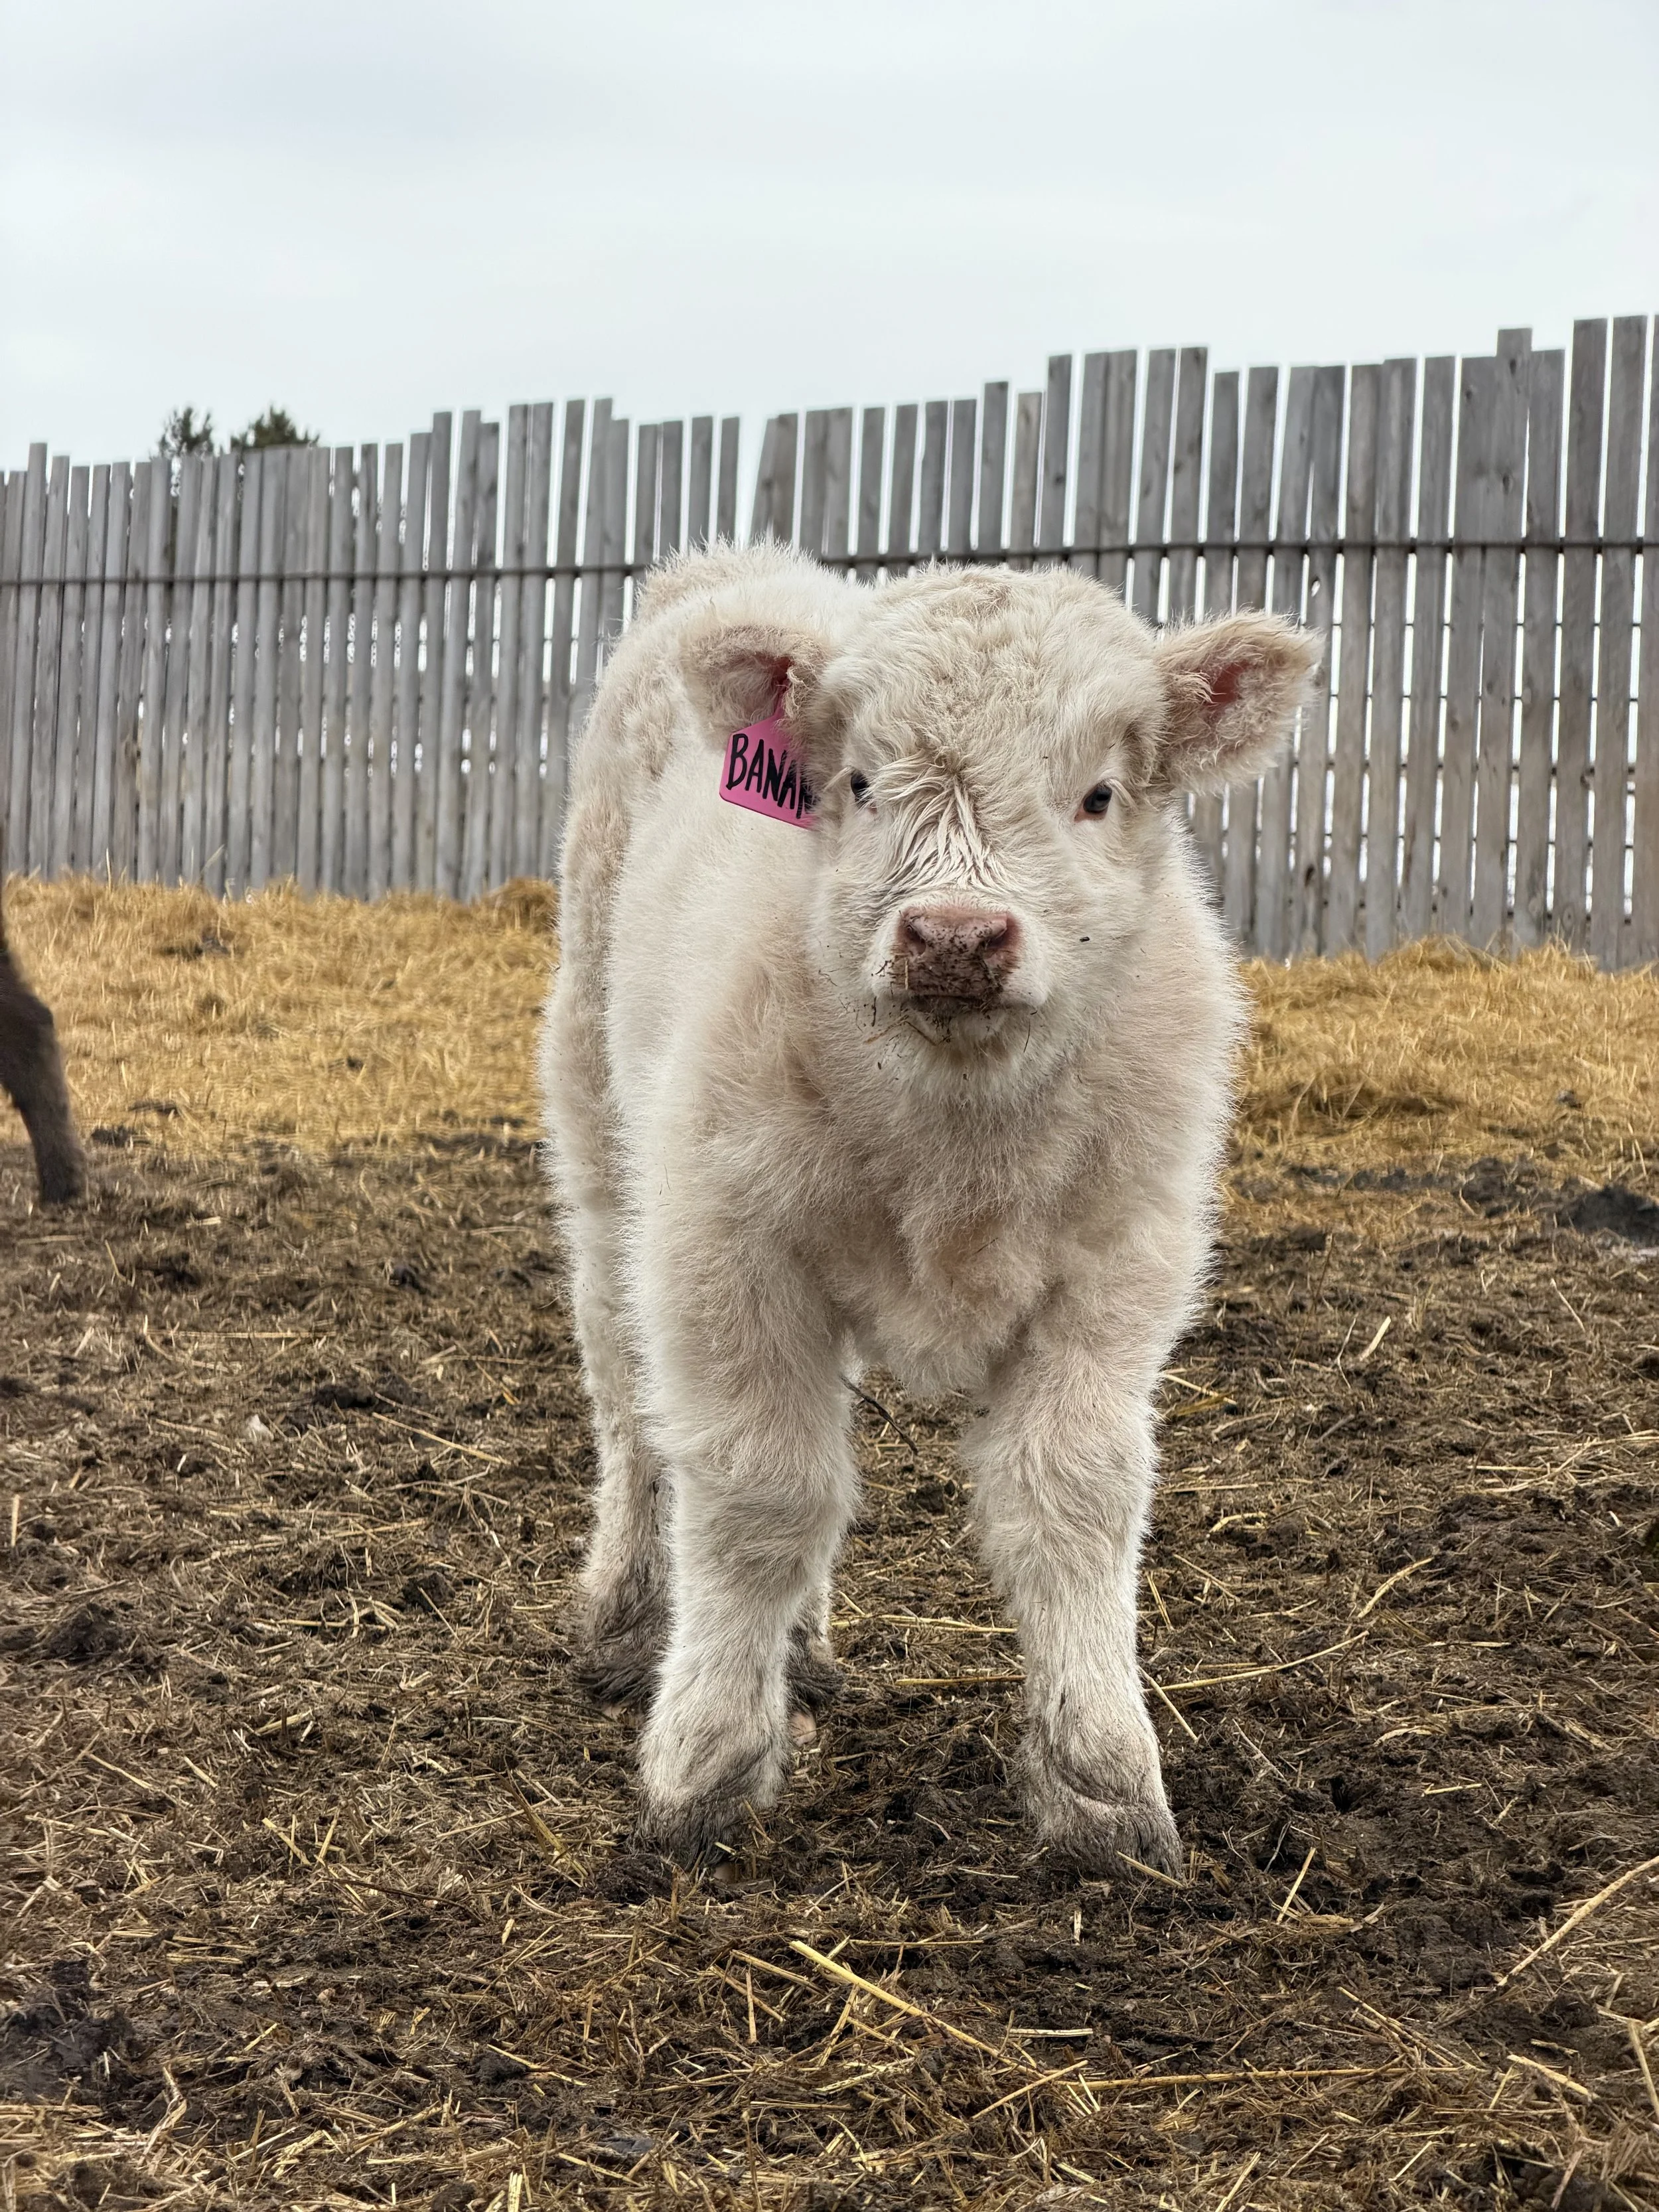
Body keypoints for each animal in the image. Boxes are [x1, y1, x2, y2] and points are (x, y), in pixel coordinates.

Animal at [540, 542, 1317, 1875]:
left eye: (1098, 794)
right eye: (857, 782)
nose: (954, 937)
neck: (958, 1136)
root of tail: (737, 564)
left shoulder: (1120, 1268)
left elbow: (1075, 1493)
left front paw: (1105, 1782)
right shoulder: (723, 1245)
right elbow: (760, 1492)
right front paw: (706, 1766)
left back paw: (807, 1646)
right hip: (598, 1124)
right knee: (628, 1398)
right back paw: (629, 1610)